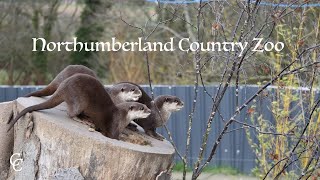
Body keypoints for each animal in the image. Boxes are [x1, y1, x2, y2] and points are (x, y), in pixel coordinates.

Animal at [7, 74, 151, 140]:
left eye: (145, 106)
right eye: (142, 108)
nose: (149, 111)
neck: (121, 117)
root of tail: (63, 87)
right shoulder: (113, 128)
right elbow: (113, 136)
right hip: (79, 101)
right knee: (70, 114)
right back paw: (83, 120)